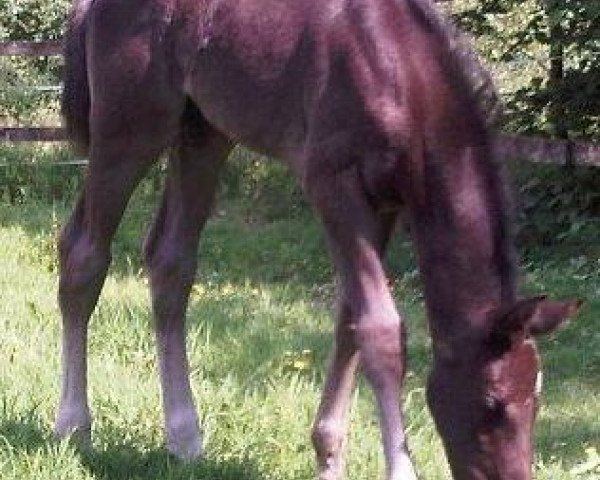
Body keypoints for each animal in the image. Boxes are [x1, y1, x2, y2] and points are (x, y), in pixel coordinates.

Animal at [58, 0, 580, 480]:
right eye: (492, 403)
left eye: (537, 400)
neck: (396, 73)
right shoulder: (334, 186)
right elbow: (381, 330)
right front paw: (398, 470)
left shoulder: (383, 206)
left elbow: (350, 320)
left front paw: (329, 460)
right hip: (130, 127)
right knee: (84, 253)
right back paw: (73, 426)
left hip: (202, 133)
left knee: (170, 261)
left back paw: (184, 438)